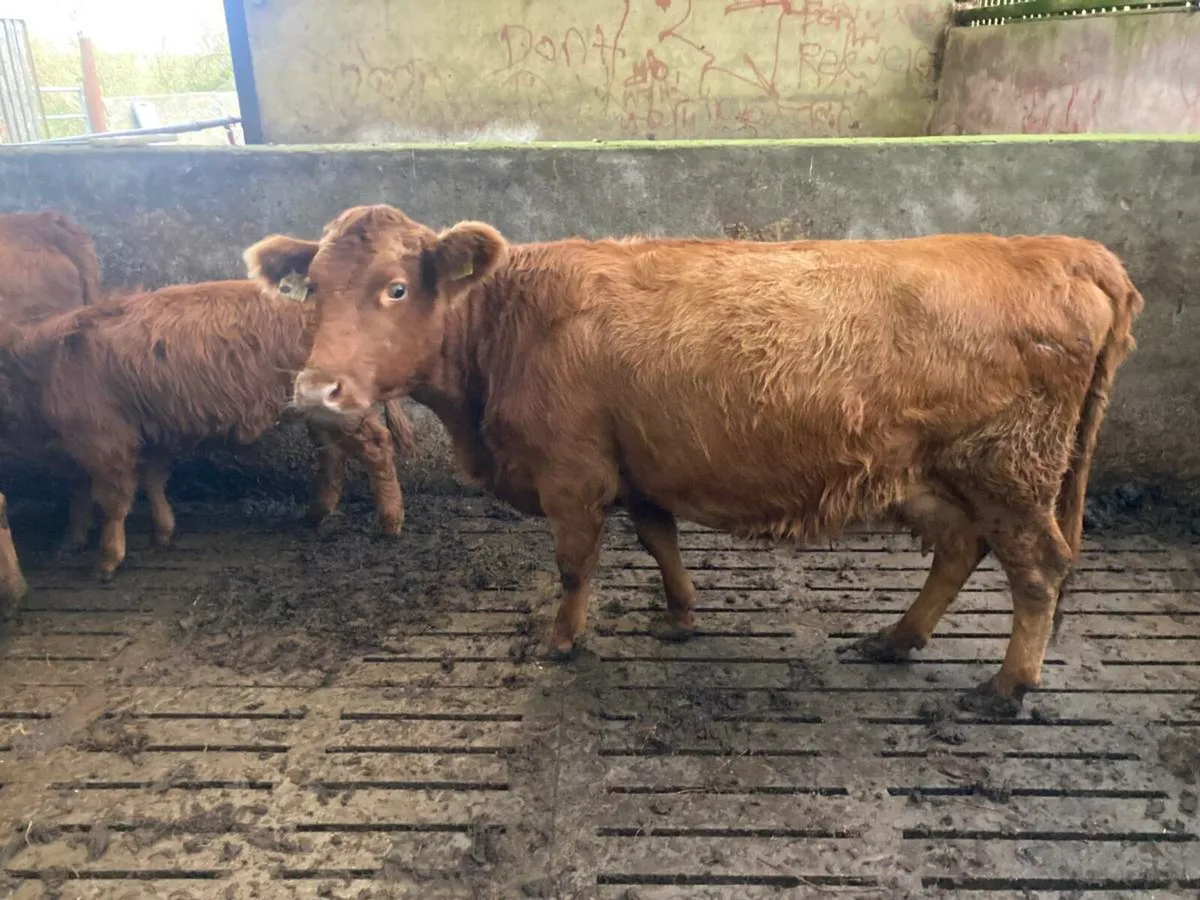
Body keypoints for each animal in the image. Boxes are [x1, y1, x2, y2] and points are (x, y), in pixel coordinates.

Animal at [0, 279, 413, 581]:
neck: (43, 369)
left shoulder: (105, 443)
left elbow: (112, 500)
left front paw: (105, 561)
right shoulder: (145, 436)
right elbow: (143, 482)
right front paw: (150, 534)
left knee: (376, 446)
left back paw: (390, 523)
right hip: (318, 411)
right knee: (332, 454)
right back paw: (316, 513)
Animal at [245, 204, 1143, 716]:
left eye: (397, 288)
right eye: (312, 287)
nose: (318, 391)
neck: (506, 326)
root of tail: (1062, 249)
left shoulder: (573, 475)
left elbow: (575, 565)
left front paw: (562, 641)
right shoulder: (637, 464)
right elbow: (657, 538)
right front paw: (680, 615)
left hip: (1010, 473)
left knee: (1037, 569)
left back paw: (1007, 687)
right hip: (939, 476)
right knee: (960, 550)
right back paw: (896, 638)